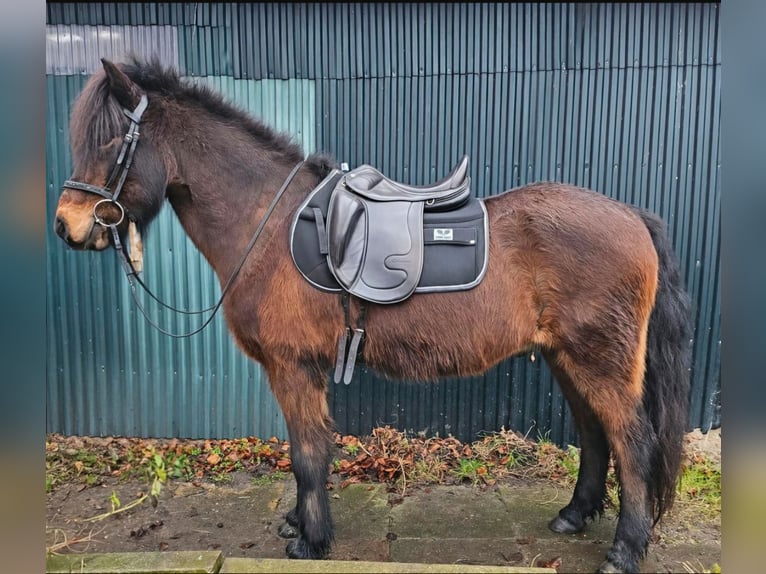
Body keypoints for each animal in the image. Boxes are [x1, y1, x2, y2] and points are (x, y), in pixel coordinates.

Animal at [52, 57, 691, 574]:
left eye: (111, 142)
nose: (67, 225)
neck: (269, 222)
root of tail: (633, 216)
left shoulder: (291, 367)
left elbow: (308, 455)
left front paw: (310, 540)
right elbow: (307, 450)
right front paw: (298, 522)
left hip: (600, 363)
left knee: (633, 444)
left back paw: (625, 550)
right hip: (567, 357)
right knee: (594, 436)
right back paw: (574, 516)